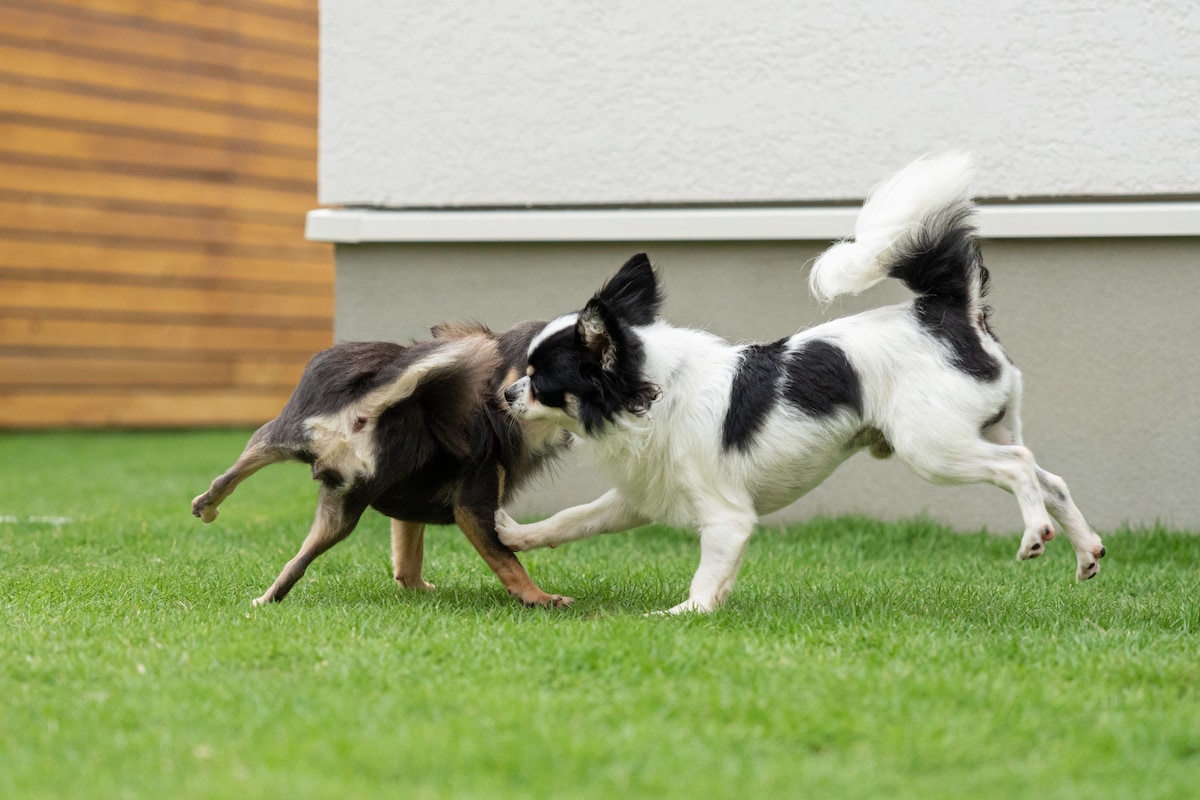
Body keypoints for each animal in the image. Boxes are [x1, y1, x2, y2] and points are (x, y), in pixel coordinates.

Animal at [192, 319, 576, 606]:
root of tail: (377, 403)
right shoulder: (473, 507)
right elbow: (506, 560)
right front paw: (537, 597)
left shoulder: (410, 507)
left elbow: (408, 556)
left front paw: (414, 587)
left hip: (301, 454)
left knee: (251, 488)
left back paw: (217, 519)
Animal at [494, 153, 1104, 614]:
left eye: (540, 379)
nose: (504, 393)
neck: (653, 389)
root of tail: (947, 311)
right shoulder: (642, 496)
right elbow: (574, 519)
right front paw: (517, 535)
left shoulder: (727, 518)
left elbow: (706, 575)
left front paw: (682, 615)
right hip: (984, 429)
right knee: (1051, 479)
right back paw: (1087, 552)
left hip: (933, 447)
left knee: (1018, 467)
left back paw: (1035, 535)